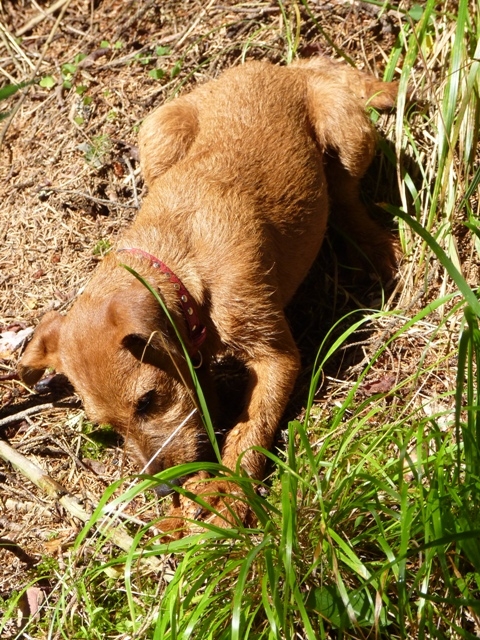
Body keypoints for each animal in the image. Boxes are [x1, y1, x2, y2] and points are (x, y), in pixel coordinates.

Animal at [18, 57, 398, 530]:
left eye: (148, 400)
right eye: (110, 428)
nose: (165, 490)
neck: (180, 261)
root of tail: (282, 68)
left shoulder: (276, 357)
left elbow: (251, 427)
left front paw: (230, 496)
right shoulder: (191, 365)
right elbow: (205, 415)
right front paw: (190, 503)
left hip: (346, 135)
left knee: (346, 196)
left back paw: (378, 244)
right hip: (158, 132)